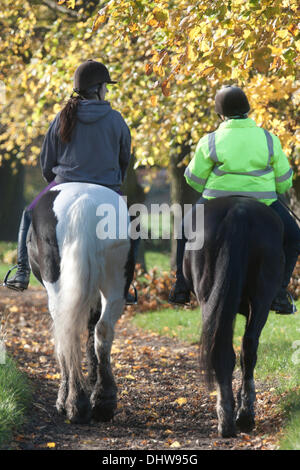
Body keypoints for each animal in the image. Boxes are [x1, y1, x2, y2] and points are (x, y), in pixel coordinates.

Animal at [183, 196, 284, 436]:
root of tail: (238, 213)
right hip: (260, 299)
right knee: (247, 348)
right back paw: (242, 415)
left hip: (212, 300)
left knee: (229, 351)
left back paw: (229, 417)